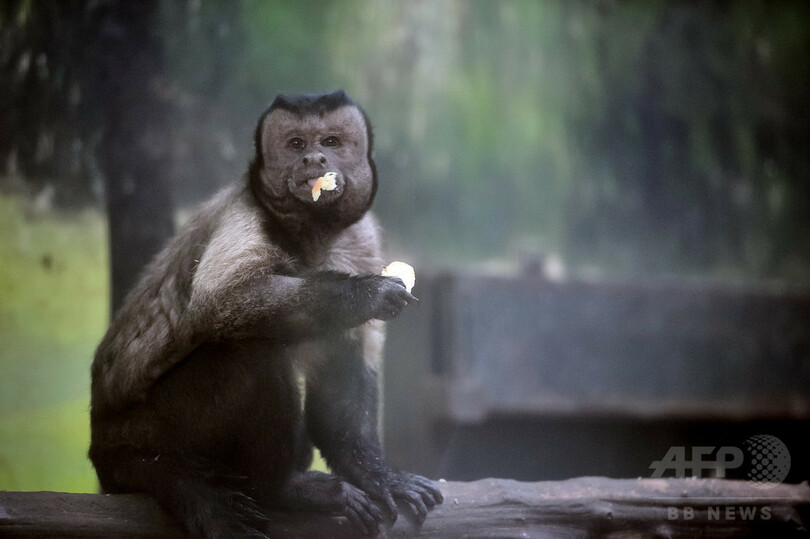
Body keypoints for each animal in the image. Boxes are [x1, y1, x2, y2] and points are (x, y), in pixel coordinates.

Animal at [88, 90, 442, 536]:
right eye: (295, 144)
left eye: (330, 142)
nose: (313, 160)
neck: (311, 234)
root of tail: (106, 447)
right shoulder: (248, 216)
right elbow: (220, 301)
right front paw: (366, 294)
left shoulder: (361, 239)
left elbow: (349, 357)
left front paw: (372, 473)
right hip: (152, 431)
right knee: (254, 349)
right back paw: (278, 487)